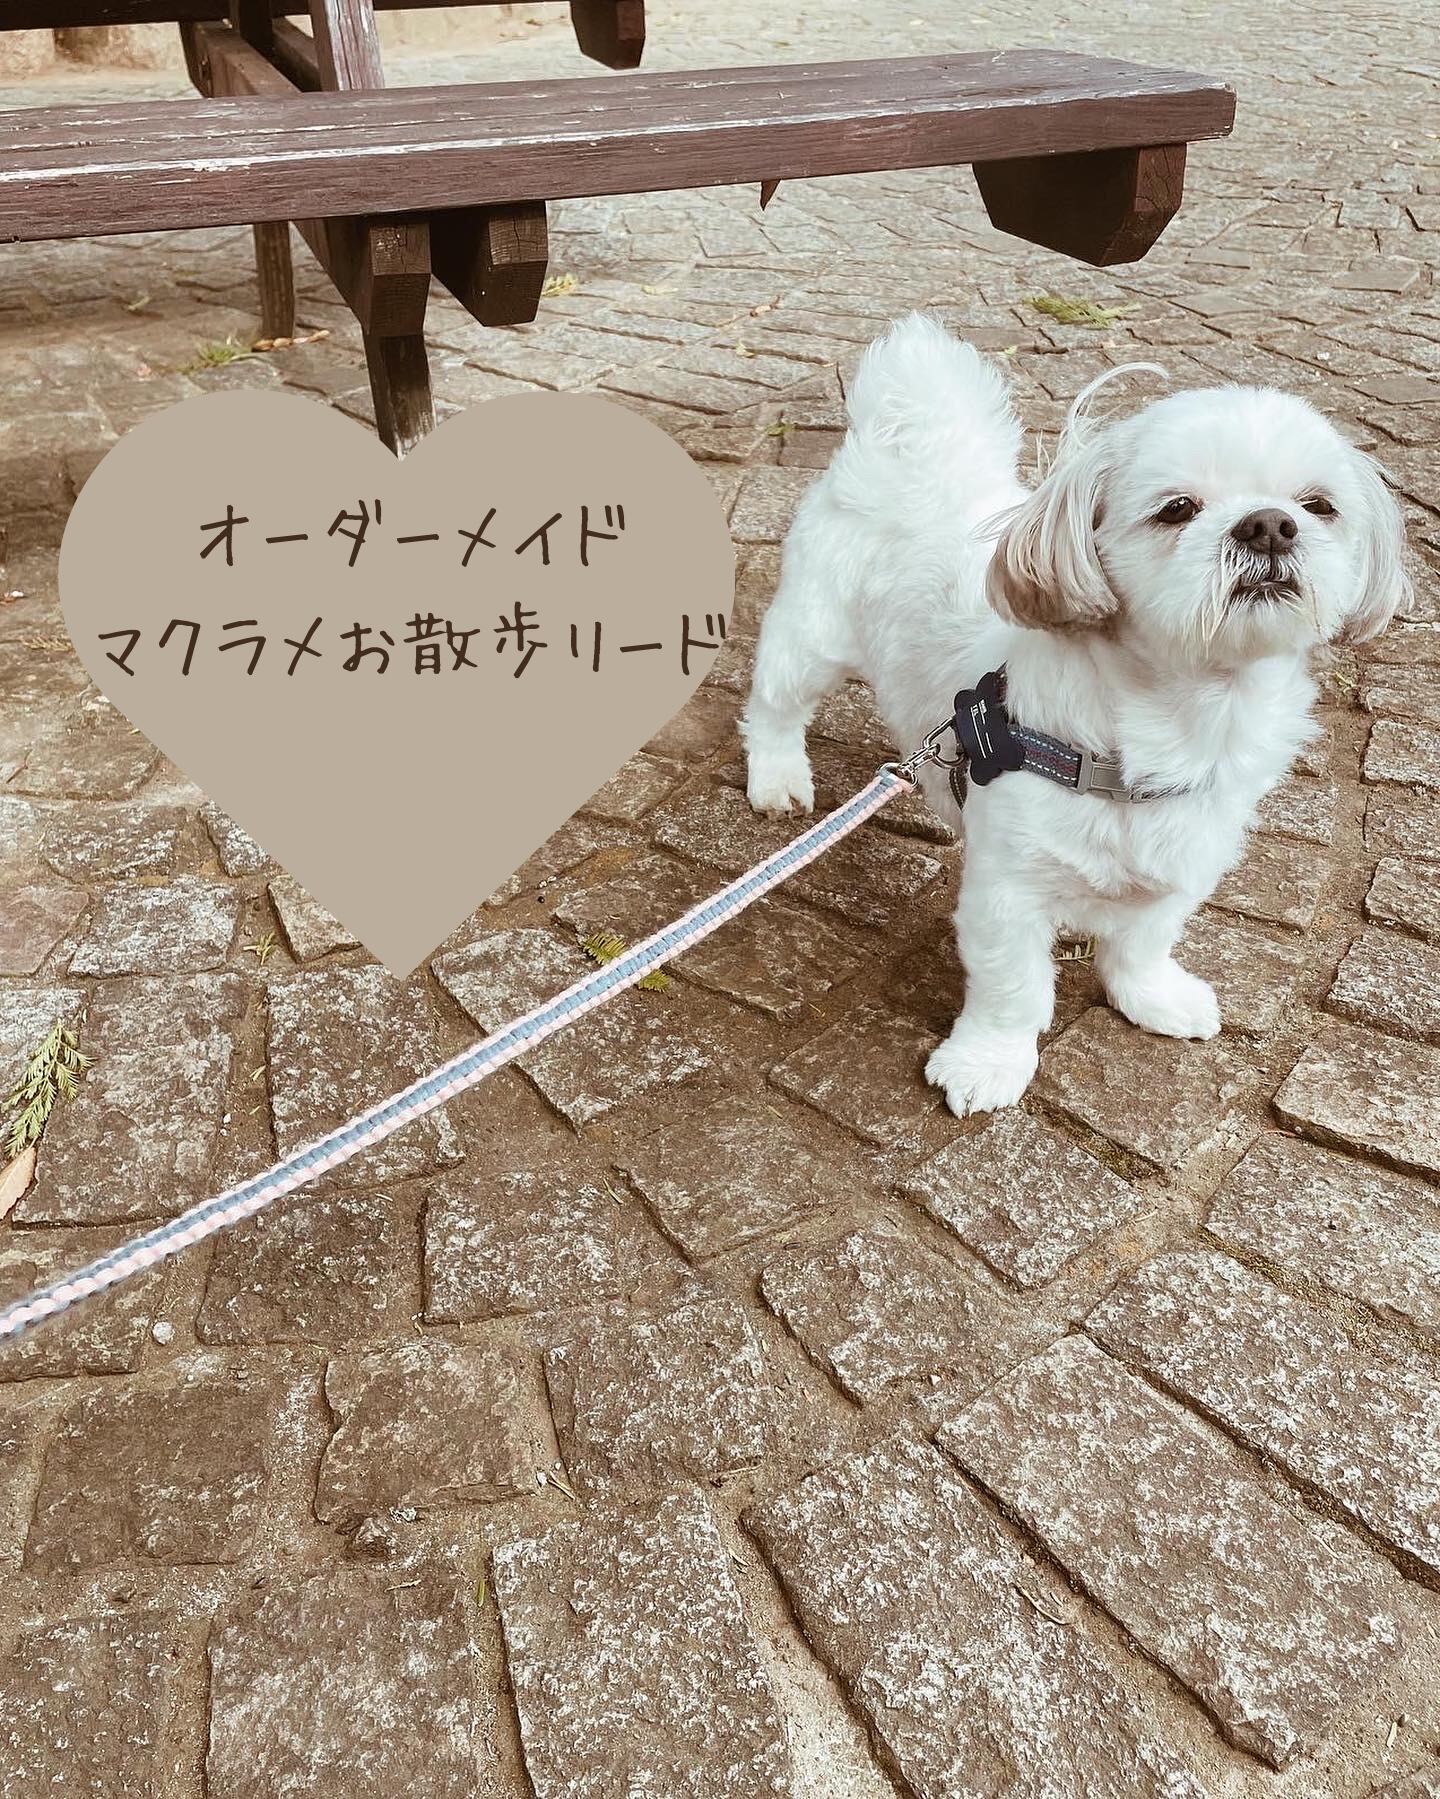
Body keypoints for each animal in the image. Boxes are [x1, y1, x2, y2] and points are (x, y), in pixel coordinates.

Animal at [742, 313, 1409, 1118]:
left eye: (1318, 505)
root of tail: (904, 441)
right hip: (813, 636)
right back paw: (777, 776)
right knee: (774, 701)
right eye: (1177, 509)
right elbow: (1012, 988)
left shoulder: (1185, 858)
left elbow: (1143, 940)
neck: (1178, 717)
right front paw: (988, 1062)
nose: (1270, 525)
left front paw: (1151, 995)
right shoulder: (1008, 892)